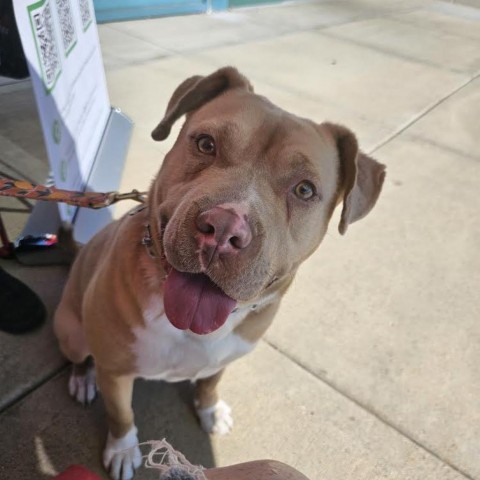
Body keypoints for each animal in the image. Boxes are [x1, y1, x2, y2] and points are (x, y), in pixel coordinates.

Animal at [54, 67, 386, 480]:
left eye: (305, 190)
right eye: (206, 144)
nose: (225, 229)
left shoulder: (228, 355)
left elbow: (211, 380)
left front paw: (210, 409)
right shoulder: (115, 370)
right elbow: (121, 413)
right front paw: (123, 449)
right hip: (72, 332)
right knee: (79, 355)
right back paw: (83, 378)